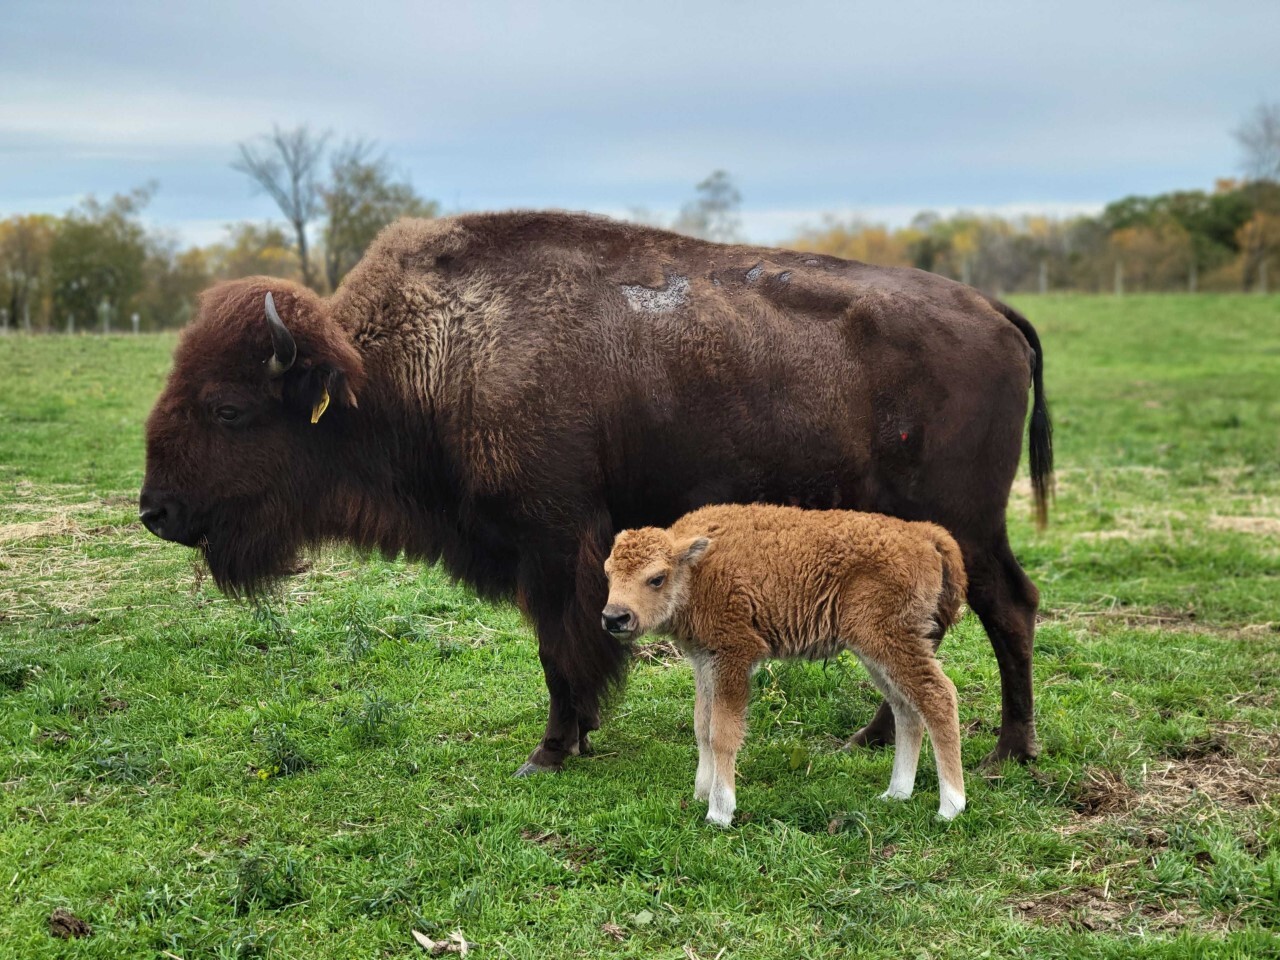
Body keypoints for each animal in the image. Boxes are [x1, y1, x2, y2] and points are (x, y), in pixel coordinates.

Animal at [140, 212, 1049, 773]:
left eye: (227, 408)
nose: (157, 511)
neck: (432, 355)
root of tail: (991, 309)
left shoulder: (552, 545)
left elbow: (561, 648)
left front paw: (550, 749)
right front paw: (570, 739)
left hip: (965, 521)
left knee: (1006, 608)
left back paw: (1008, 750)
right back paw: (874, 738)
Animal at [604, 504, 962, 829]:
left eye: (657, 578)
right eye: (608, 573)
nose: (614, 617)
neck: (697, 568)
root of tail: (923, 534)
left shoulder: (734, 656)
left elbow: (722, 734)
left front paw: (719, 812)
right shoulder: (705, 660)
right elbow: (702, 728)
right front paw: (700, 794)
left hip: (891, 641)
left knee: (938, 697)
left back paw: (950, 807)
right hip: (876, 652)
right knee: (906, 709)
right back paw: (897, 793)